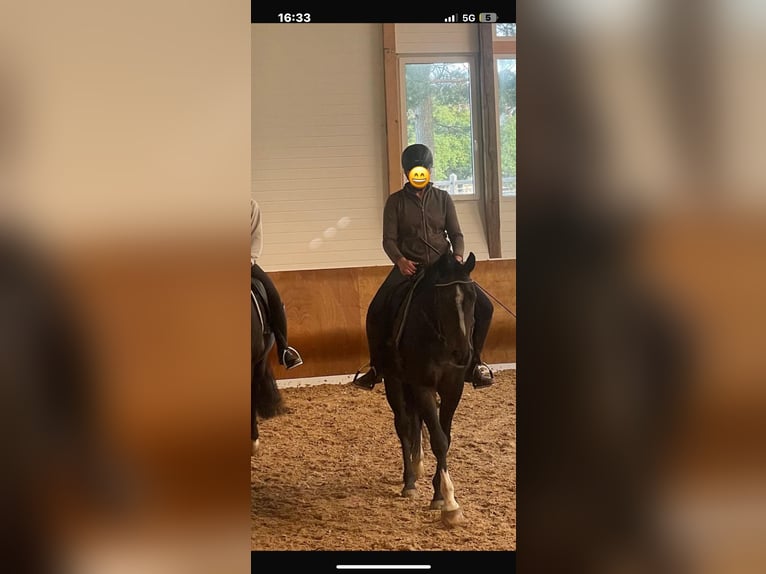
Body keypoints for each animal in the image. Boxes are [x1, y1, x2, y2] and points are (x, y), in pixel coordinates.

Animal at [380, 251, 479, 528]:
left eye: (473, 297)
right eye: (443, 299)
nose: (463, 353)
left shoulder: (453, 388)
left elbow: (445, 437)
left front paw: (438, 495)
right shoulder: (422, 386)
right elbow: (438, 440)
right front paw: (450, 504)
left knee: (416, 422)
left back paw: (418, 465)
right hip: (394, 382)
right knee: (404, 425)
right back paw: (410, 481)